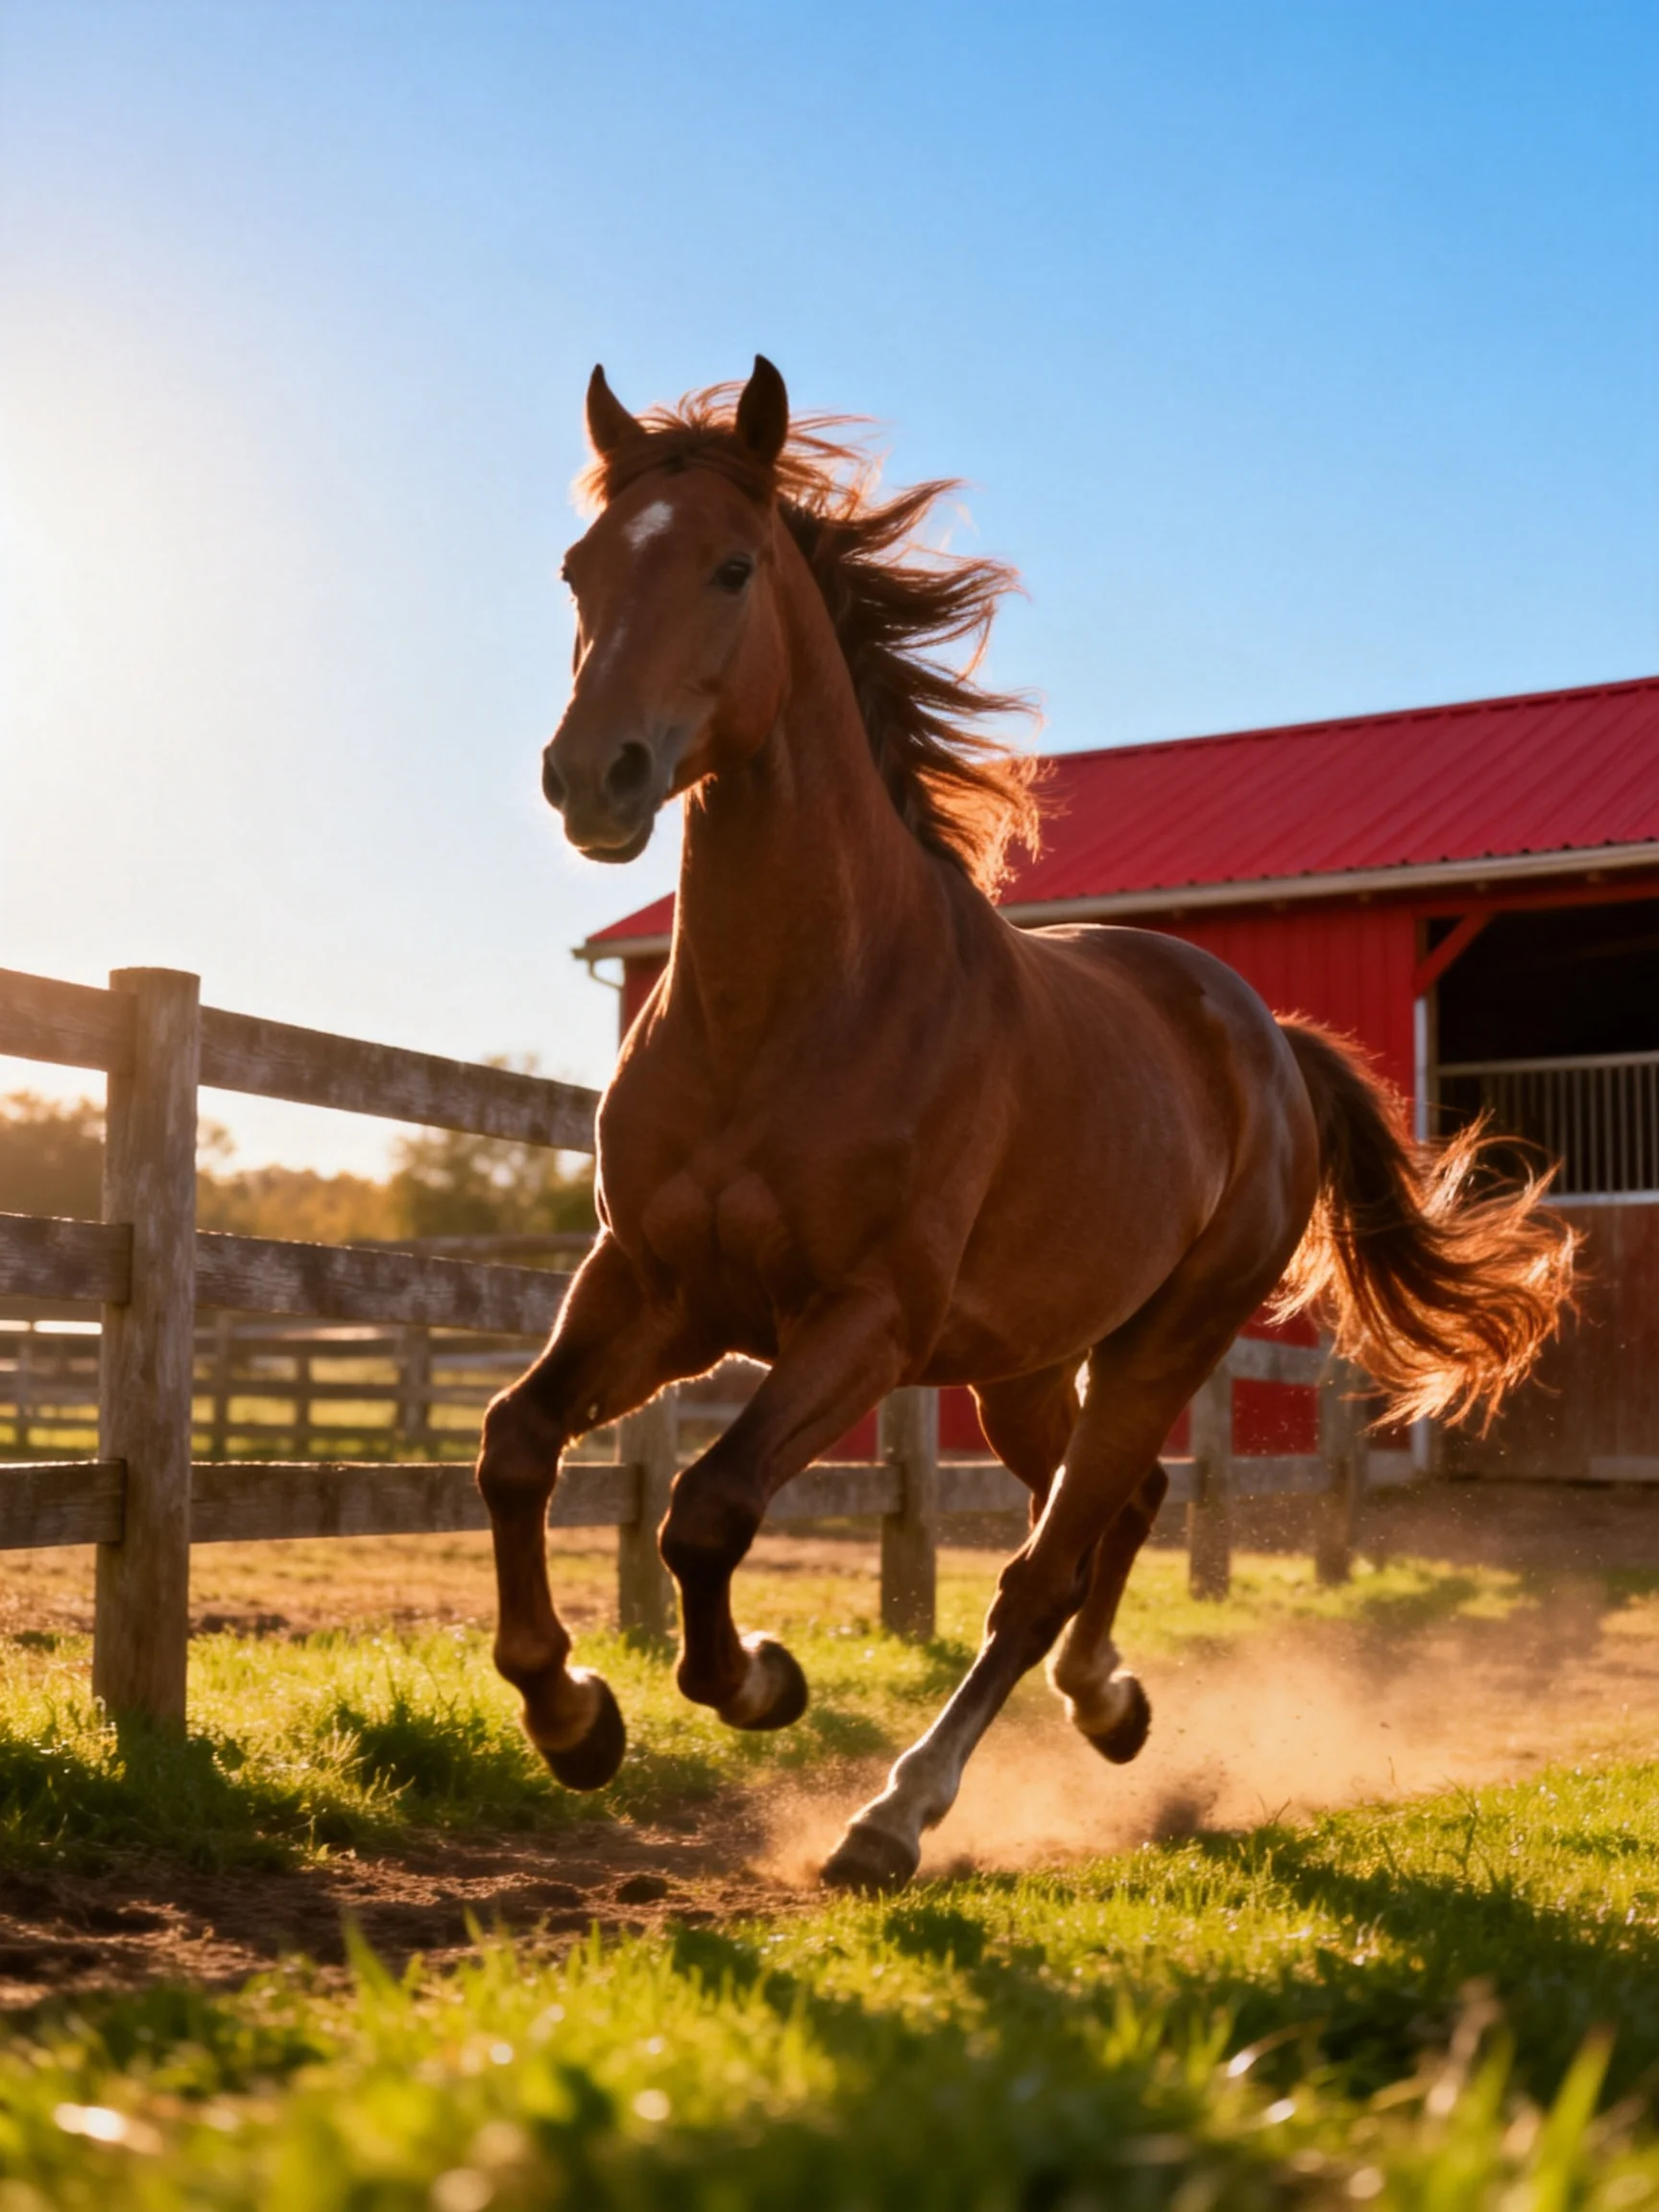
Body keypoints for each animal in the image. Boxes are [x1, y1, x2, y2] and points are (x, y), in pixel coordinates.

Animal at [477, 356, 1576, 1893]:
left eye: (733, 567)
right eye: (580, 570)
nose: (597, 777)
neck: (795, 1008)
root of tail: (1269, 1040)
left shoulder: (863, 1321)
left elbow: (709, 1507)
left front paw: (758, 1680)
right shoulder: (652, 1289)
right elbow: (517, 1443)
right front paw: (574, 1718)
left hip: (1161, 1341)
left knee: (1043, 1568)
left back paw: (894, 1815)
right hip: (1023, 1368)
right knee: (1122, 1513)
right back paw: (1106, 1705)